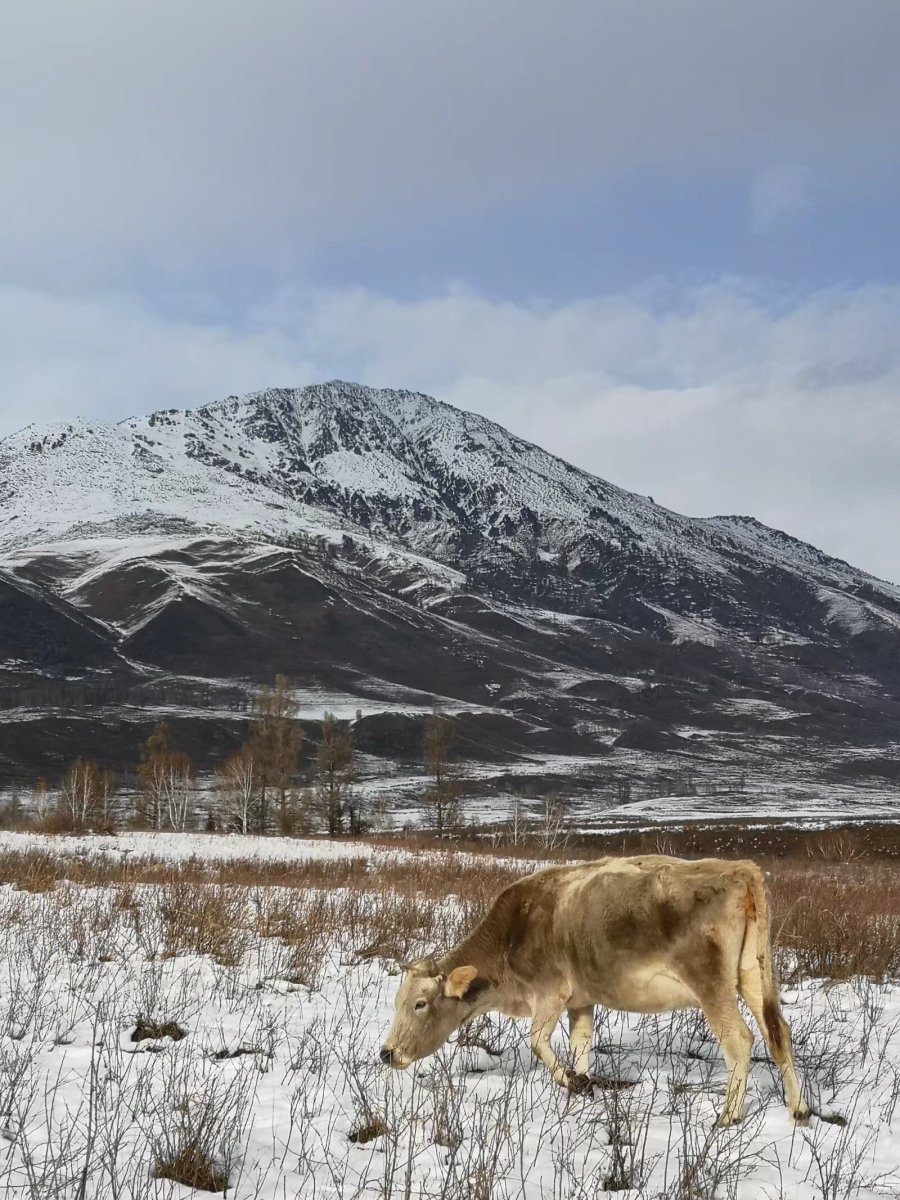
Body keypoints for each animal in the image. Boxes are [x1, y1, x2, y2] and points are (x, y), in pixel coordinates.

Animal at [381, 854, 811, 1123]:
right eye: (397, 1002)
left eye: (420, 1004)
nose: (387, 1053)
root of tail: (740, 870)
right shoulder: (580, 1001)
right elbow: (581, 1044)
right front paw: (583, 1083)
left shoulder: (550, 993)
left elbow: (536, 1041)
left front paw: (571, 1081)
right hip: (755, 974)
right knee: (778, 1034)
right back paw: (799, 1110)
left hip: (711, 983)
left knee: (739, 1040)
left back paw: (728, 1116)